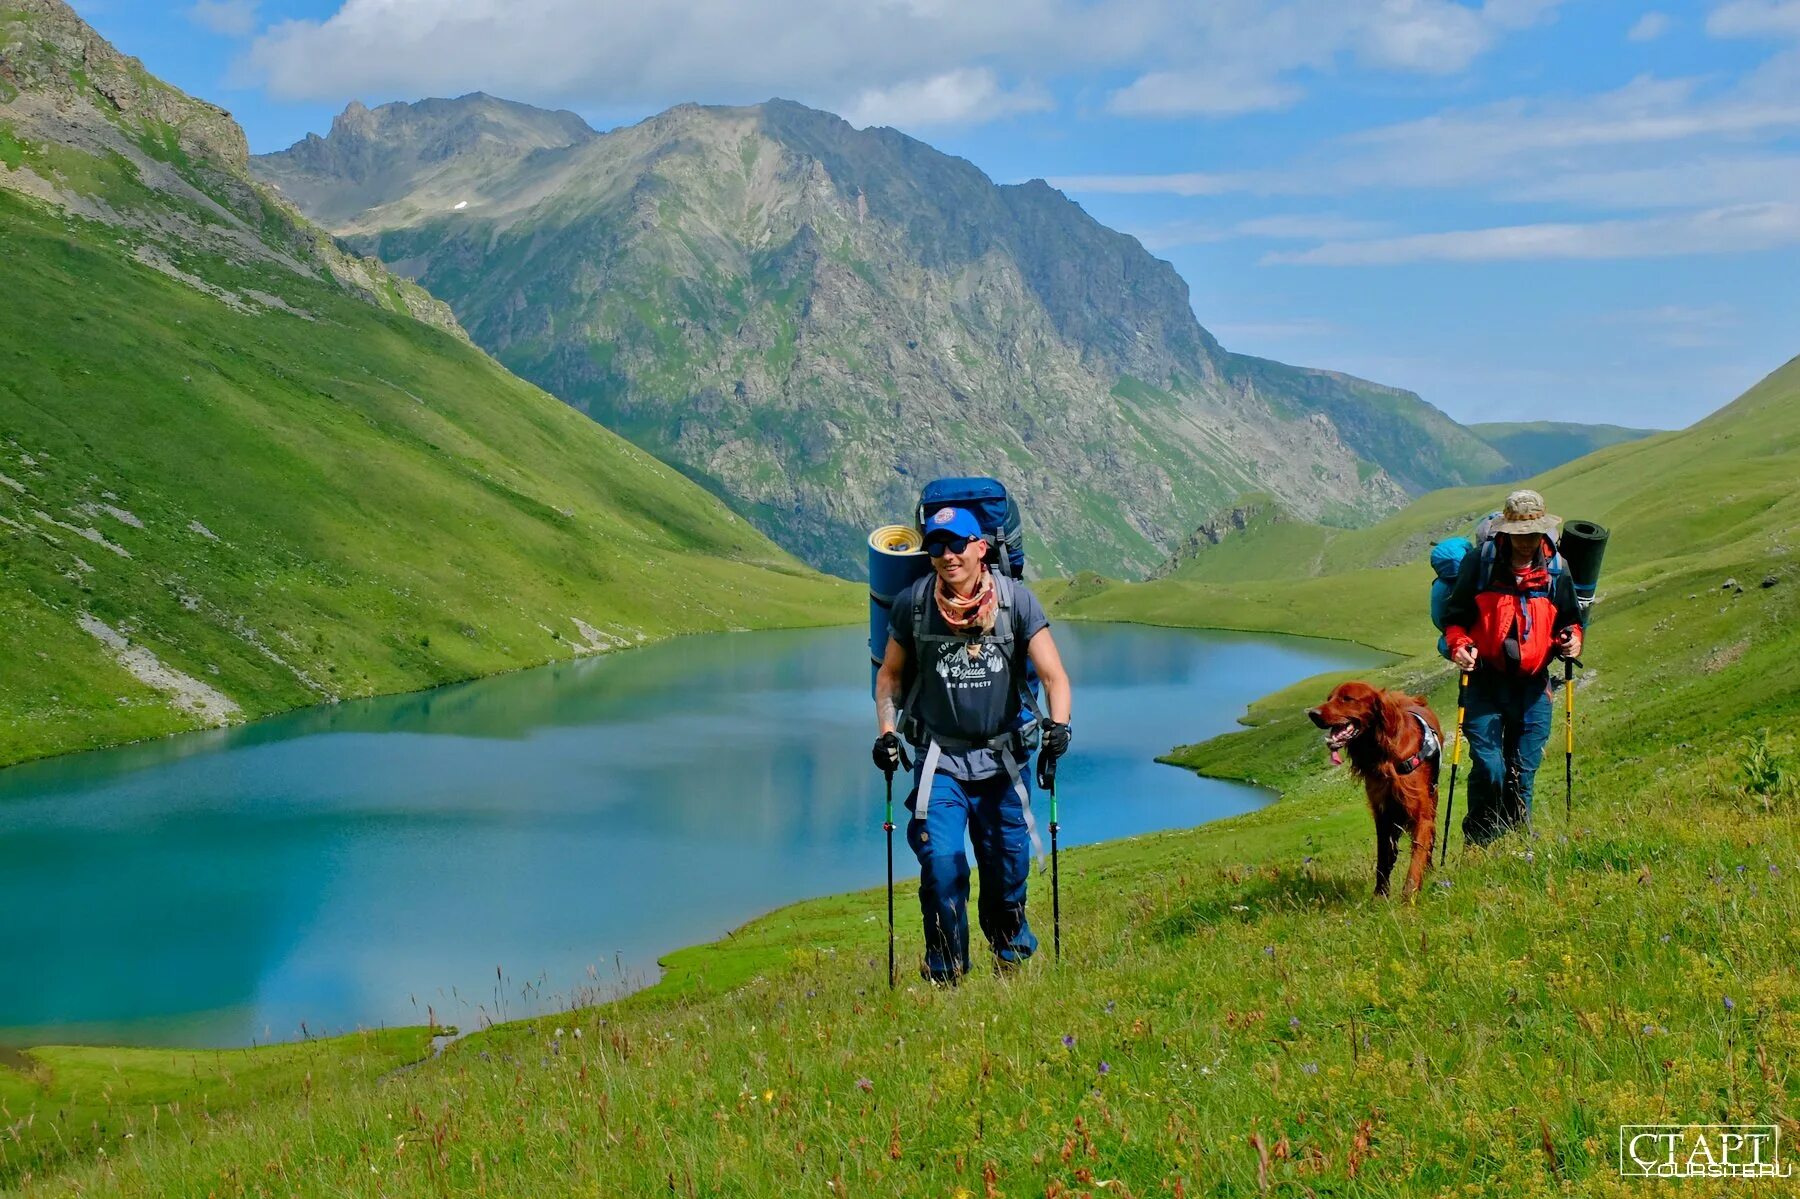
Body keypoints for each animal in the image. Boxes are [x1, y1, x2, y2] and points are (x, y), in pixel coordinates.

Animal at [1310, 680, 1447, 896]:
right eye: (1329, 698)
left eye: (1347, 698)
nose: (1312, 713)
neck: (1385, 752)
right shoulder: (1383, 814)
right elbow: (1383, 859)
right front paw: (1380, 896)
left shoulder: (1421, 815)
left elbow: (1416, 861)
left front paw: (1408, 898)